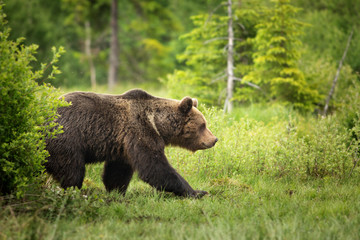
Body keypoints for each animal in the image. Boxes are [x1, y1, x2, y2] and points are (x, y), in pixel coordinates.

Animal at [46, 89, 218, 198]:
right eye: (203, 125)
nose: (214, 139)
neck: (157, 123)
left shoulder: (122, 144)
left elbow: (118, 171)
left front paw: (117, 191)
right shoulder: (140, 131)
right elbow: (154, 166)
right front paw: (197, 192)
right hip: (66, 140)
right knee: (72, 170)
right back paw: (73, 191)